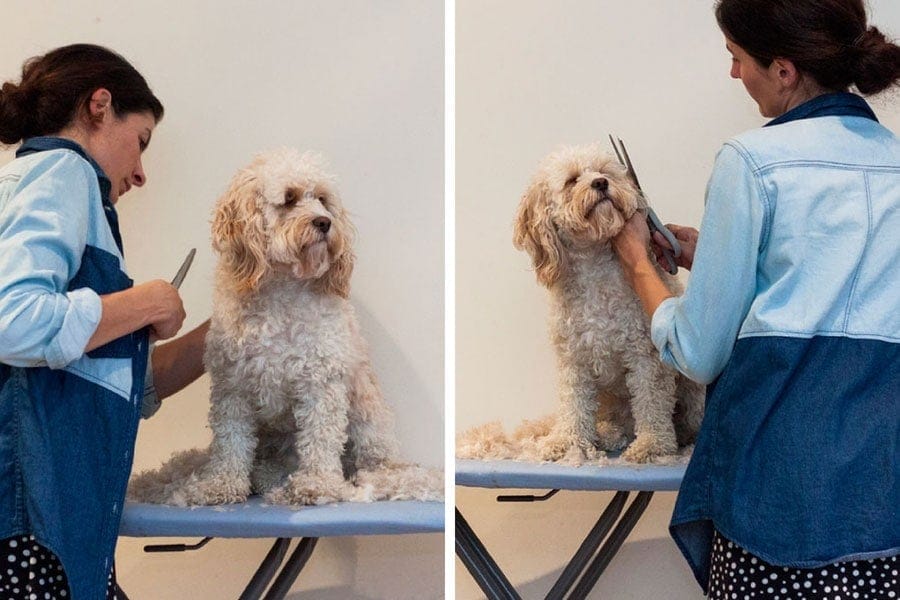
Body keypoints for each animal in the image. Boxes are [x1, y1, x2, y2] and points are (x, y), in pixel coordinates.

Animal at [128, 150, 442, 506]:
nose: (324, 222)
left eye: (322, 200)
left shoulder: (321, 381)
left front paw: (317, 484)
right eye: (289, 198)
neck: (281, 292)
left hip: (367, 413)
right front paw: (222, 484)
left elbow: (320, 437)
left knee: (375, 463)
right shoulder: (232, 385)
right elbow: (231, 440)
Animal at [512, 143, 704, 462]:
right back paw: (610, 434)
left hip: (691, 383)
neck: (594, 268)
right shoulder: (573, 357)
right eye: (572, 180)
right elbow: (574, 404)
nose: (601, 183)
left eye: (604, 171)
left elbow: (651, 400)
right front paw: (567, 441)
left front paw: (652, 444)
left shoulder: (645, 353)